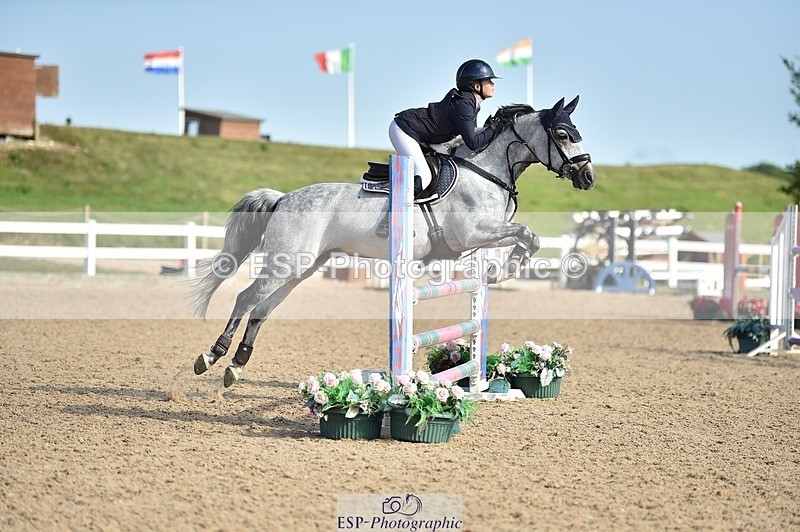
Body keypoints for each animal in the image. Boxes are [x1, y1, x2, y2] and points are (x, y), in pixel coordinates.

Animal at [189, 95, 595, 387]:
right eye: (562, 135)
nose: (587, 178)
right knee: (246, 298)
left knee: (262, 308)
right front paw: (504, 271)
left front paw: (499, 273)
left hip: (301, 267)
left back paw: (236, 366)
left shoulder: (482, 234)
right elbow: (527, 234)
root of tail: (284, 198)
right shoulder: (474, 232)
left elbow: (529, 237)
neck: (486, 171)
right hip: (286, 262)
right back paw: (211, 356)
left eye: (577, 132)